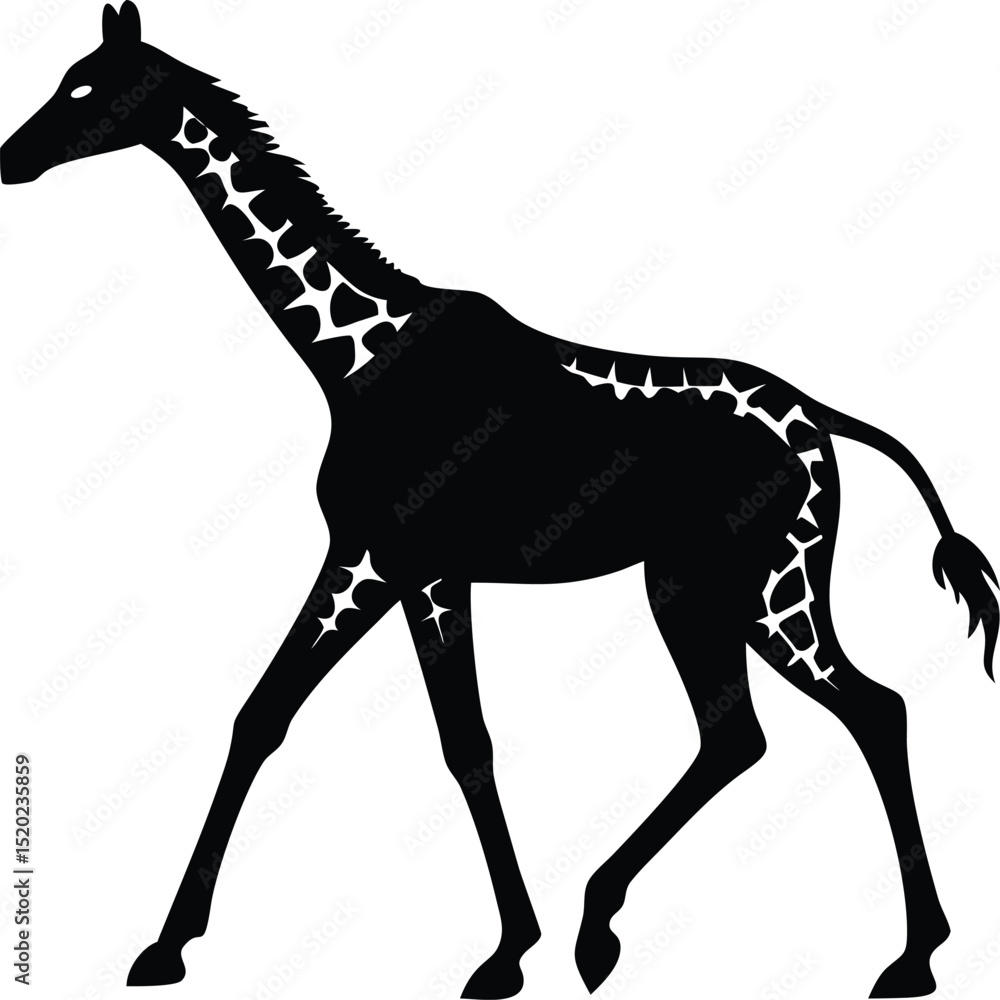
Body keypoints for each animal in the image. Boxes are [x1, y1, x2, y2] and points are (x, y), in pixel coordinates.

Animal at [2, 5, 997, 998]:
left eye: (83, 85)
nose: (12, 159)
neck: (357, 359)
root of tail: (823, 421)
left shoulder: (407, 563)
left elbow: (459, 743)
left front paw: (507, 952)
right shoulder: (384, 561)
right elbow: (272, 718)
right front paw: (167, 944)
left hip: (733, 582)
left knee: (839, 715)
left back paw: (889, 955)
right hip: (729, 583)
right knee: (783, 727)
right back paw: (633, 926)